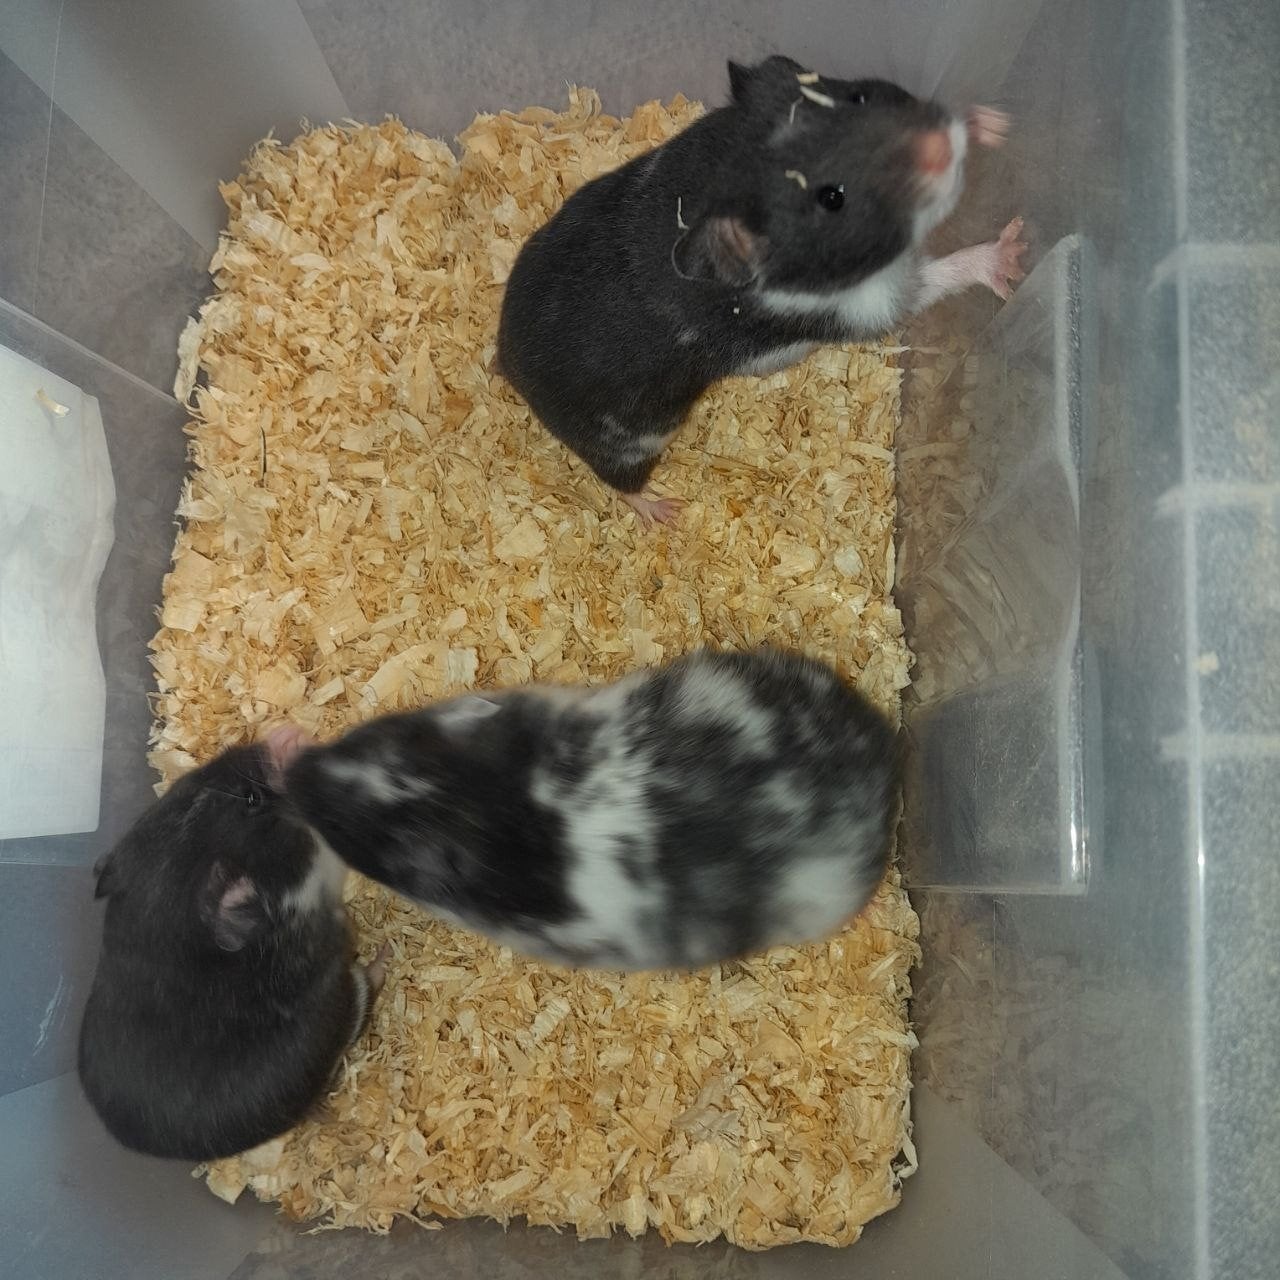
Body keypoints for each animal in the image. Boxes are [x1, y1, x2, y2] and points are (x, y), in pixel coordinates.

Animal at [496, 55, 1025, 524]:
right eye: (832, 198)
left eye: (857, 97)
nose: (939, 146)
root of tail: (506, 362)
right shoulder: (865, 305)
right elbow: (934, 277)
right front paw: (1011, 255)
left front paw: (993, 123)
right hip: (632, 436)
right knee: (618, 481)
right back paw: (665, 513)